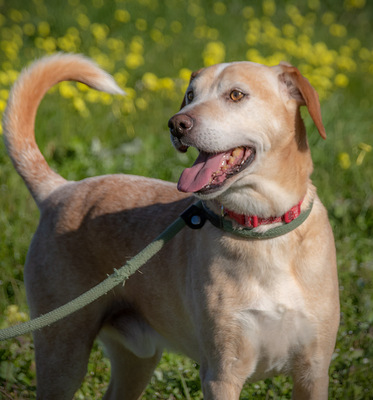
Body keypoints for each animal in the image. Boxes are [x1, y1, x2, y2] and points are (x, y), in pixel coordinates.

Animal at [2, 54, 338, 400]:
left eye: (235, 95)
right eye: (190, 95)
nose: (177, 124)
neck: (263, 230)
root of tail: (59, 190)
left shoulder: (313, 371)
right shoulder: (222, 375)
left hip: (136, 361)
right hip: (62, 353)